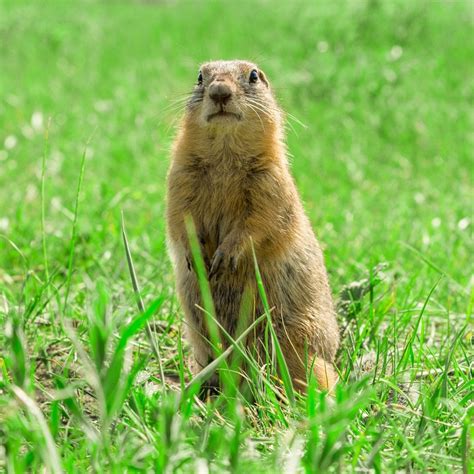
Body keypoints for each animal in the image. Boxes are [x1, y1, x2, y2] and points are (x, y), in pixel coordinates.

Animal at [167, 60, 336, 392]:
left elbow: (261, 221)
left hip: (297, 343)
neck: (225, 154)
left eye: (254, 76)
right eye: (200, 77)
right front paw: (197, 255)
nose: (219, 91)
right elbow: (179, 216)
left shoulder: (271, 182)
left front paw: (226, 256)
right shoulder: (179, 176)